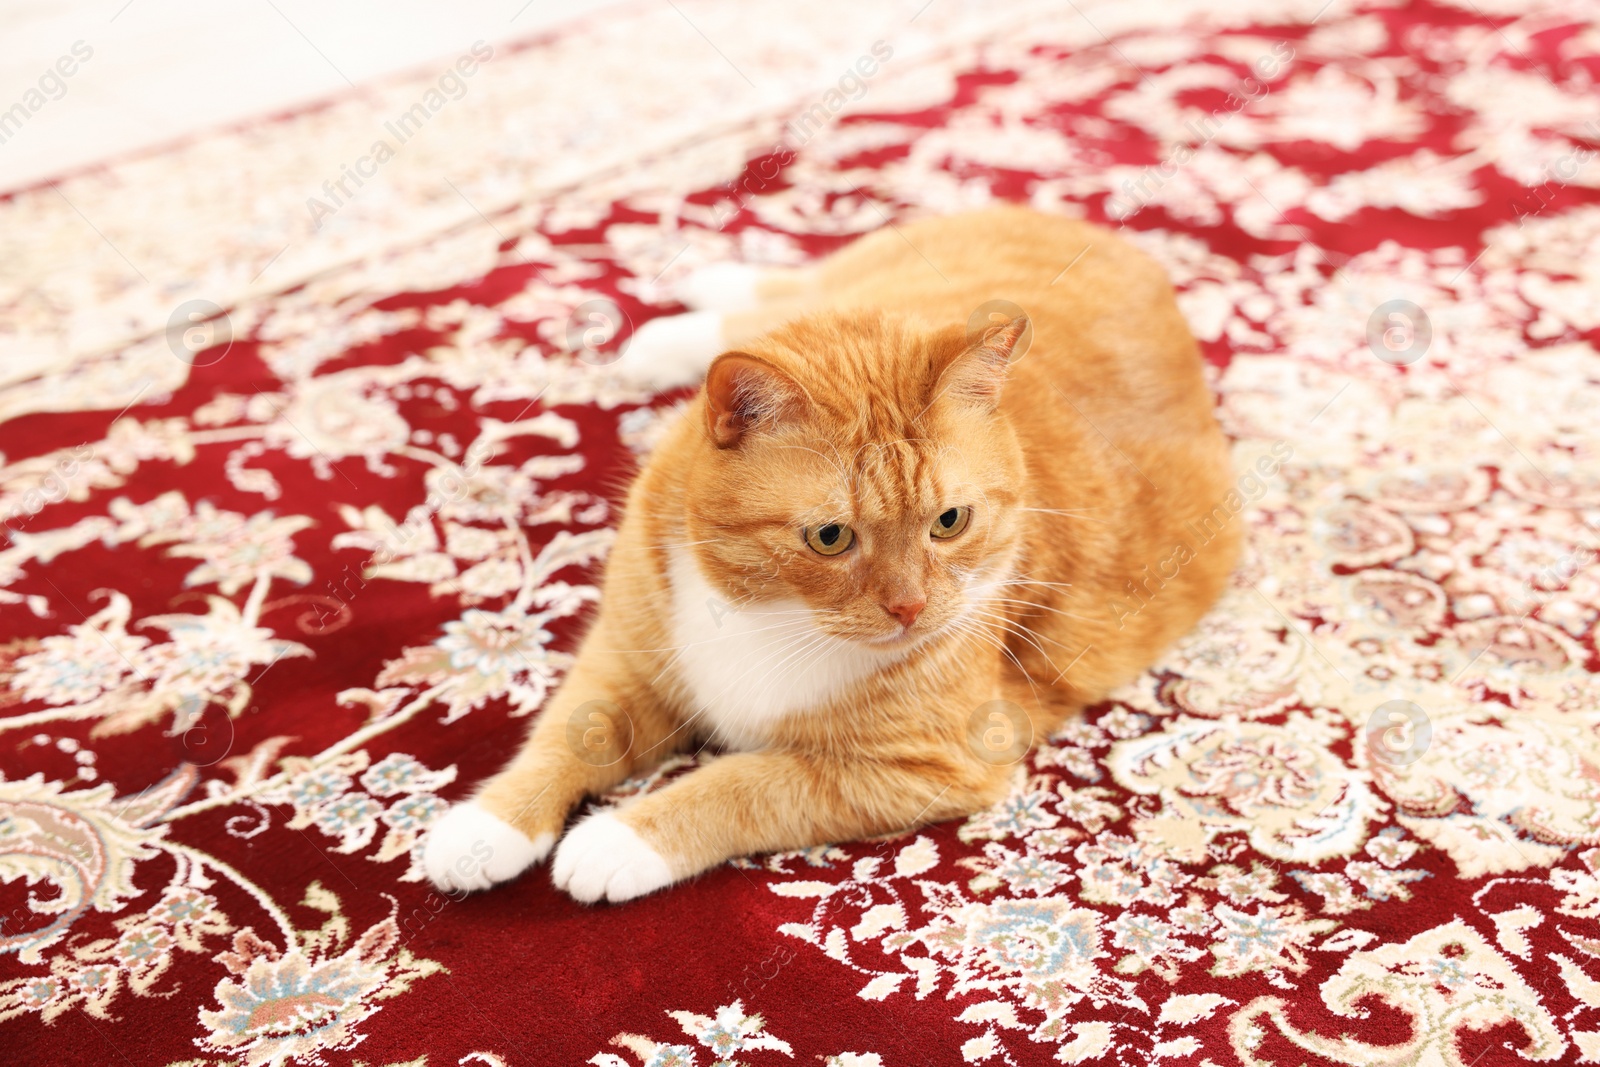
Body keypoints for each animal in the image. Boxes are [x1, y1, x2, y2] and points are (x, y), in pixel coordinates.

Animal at [422, 202, 1235, 902]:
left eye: (949, 521)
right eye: (830, 536)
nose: (910, 608)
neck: (767, 615)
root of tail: (1135, 256)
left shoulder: (919, 767)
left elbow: (739, 786)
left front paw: (616, 839)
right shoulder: (627, 657)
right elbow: (571, 732)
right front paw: (487, 826)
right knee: (775, 304)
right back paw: (688, 307)